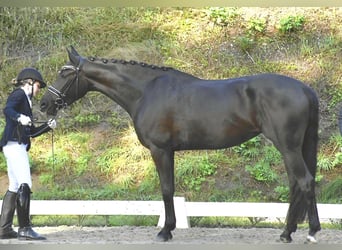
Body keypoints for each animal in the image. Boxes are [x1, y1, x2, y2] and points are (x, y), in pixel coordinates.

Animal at [40, 46, 320, 242]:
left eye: (64, 73)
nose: (44, 104)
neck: (145, 91)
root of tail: (305, 88)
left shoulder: (160, 150)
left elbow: (166, 189)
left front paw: (165, 231)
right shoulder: (169, 151)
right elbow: (171, 188)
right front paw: (169, 228)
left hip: (288, 147)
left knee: (305, 181)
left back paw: (308, 232)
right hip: (293, 148)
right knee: (298, 184)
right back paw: (289, 232)